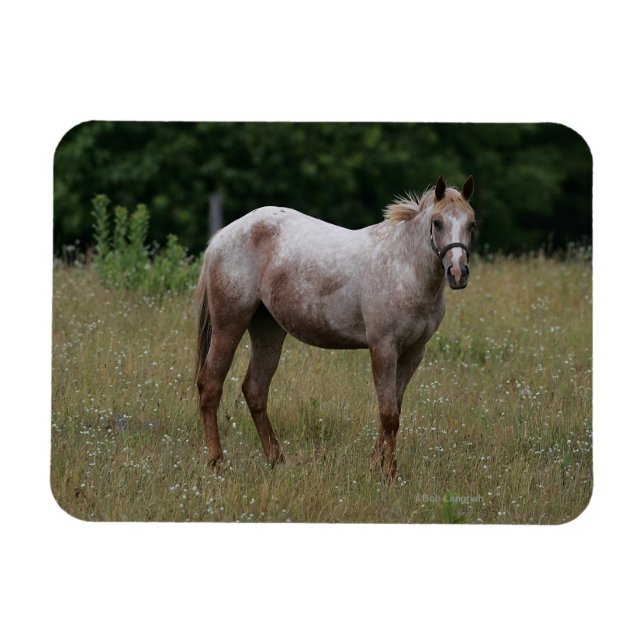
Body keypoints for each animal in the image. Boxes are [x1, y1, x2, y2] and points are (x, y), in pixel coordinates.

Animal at [195, 175, 475, 479]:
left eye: (471, 223)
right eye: (437, 222)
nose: (457, 273)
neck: (406, 267)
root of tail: (222, 236)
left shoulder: (414, 352)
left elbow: (393, 410)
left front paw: (375, 465)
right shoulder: (384, 349)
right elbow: (389, 414)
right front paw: (389, 473)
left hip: (268, 330)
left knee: (255, 390)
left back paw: (277, 459)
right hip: (229, 324)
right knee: (210, 384)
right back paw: (216, 461)